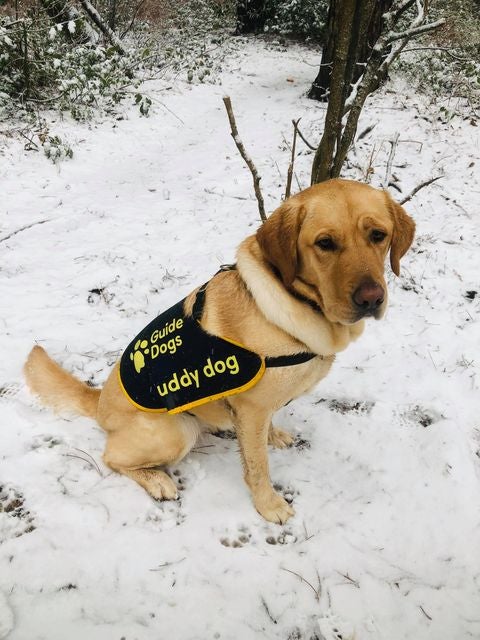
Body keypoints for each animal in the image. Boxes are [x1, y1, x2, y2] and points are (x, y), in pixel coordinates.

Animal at [25, 179, 416, 524]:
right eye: (325, 243)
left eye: (378, 235)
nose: (371, 298)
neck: (302, 304)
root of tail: (98, 401)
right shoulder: (253, 408)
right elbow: (257, 466)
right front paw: (269, 505)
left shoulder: (257, 410)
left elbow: (265, 432)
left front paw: (275, 436)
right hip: (176, 429)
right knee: (112, 458)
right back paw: (158, 481)